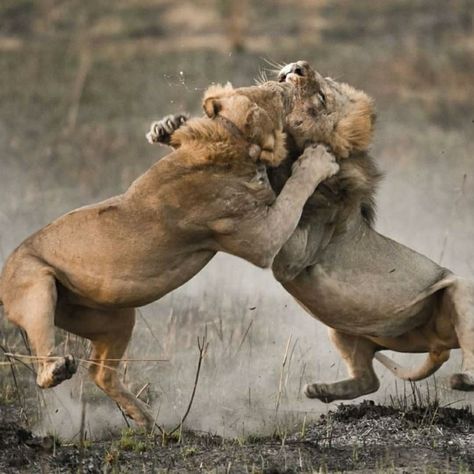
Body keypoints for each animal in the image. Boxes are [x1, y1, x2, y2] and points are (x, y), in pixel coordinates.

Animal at [0, 79, 336, 428]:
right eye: (279, 96)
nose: (288, 78)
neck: (230, 137)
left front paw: (169, 127)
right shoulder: (262, 239)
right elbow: (294, 192)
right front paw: (318, 161)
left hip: (114, 317)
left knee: (100, 373)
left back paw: (146, 419)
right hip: (36, 288)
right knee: (42, 361)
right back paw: (57, 370)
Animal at [154, 58, 472, 400]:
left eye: (321, 97)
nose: (300, 65)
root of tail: (437, 346)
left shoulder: (294, 255)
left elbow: (284, 189)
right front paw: (168, 127)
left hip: (460, 291)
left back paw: (464, 379)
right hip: (343, 328)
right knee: (368, 380)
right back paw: (322, 390)